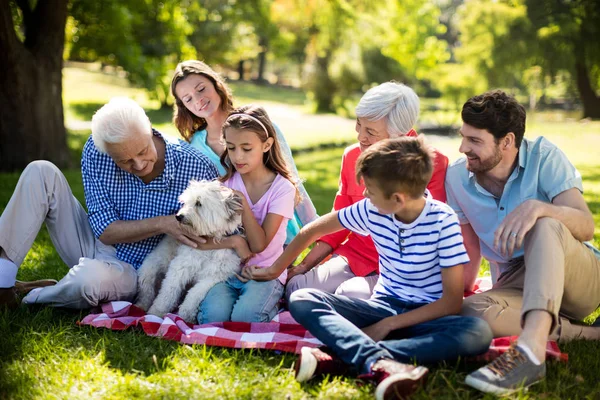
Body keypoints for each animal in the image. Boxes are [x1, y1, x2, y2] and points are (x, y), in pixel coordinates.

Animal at [136, 180, 244, 324]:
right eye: (185, 202)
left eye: (198, 203)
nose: (178, 216)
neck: (210, 243)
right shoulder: (180, 267)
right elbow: (168, 292)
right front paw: (156, 312)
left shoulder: (214, 276)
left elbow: (194, 294)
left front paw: (185, 315)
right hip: (148, 270)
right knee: (146, 291)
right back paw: (141, 306)